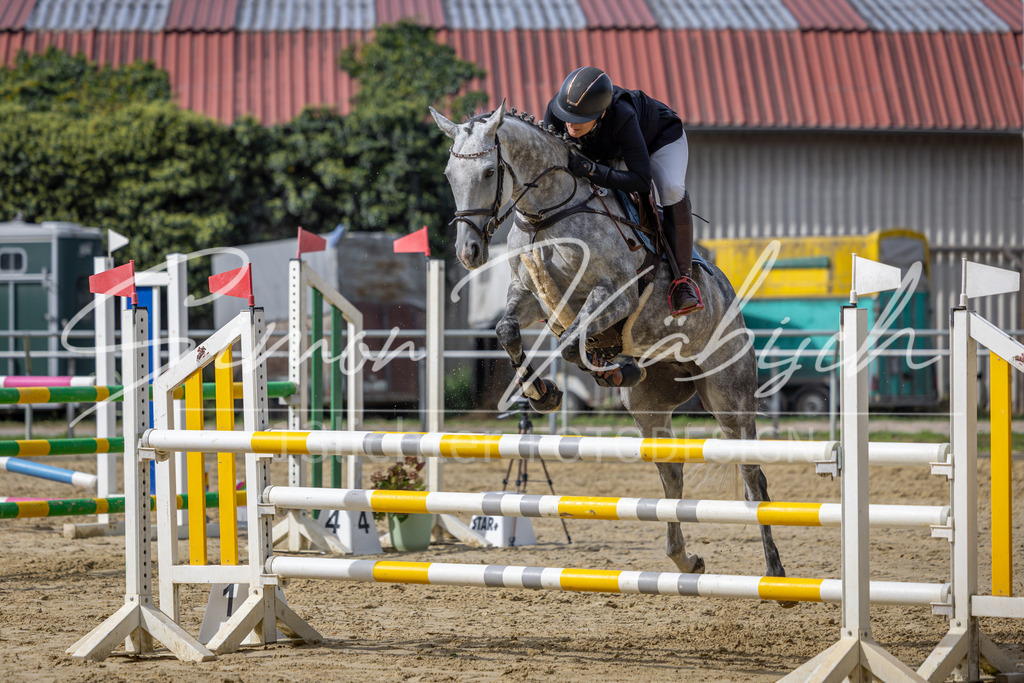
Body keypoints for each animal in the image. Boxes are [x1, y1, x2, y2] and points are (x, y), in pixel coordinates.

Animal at [431, 102, 787, 583]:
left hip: (729, 398)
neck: (548, 215)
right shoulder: (528, 296)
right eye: (450, 174)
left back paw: (774, 569)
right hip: (649, 408)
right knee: (671, 474)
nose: (468, 252)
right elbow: (508, 332)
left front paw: (596, 368)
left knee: (753, 478)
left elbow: (570, 344)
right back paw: (685, 559)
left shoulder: (613, 296)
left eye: (489, 171)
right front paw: (544, 394)